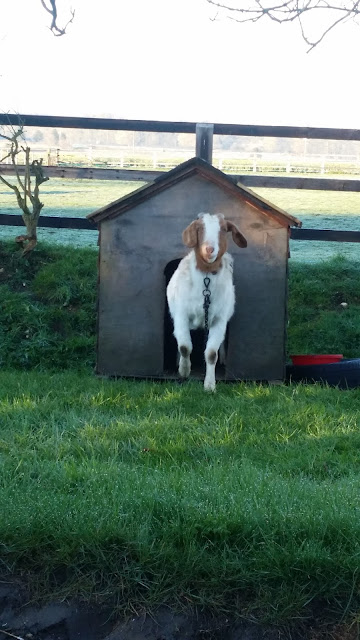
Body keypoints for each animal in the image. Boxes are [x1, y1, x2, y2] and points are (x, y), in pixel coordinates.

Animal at [167, 212, 248, 390]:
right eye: (199, 228)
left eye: (224, 229)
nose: (209, 249)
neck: (206, 278)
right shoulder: (181, 315)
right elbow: (184, 346)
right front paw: (184, 370)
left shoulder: (219, 319)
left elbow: (211, 353)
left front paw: (210, 385)